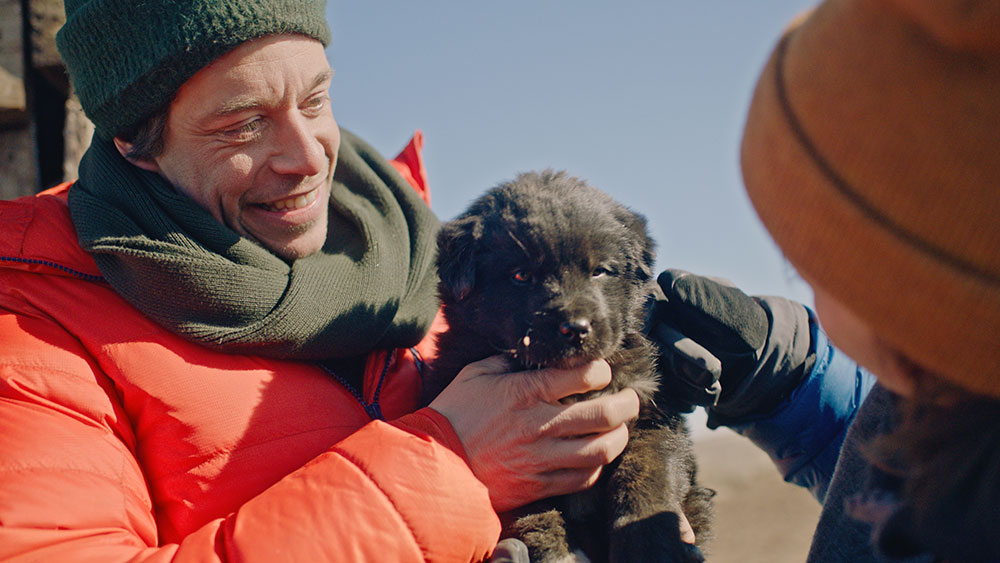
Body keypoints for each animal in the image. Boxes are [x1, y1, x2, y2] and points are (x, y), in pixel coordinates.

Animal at [420, 170, 712, 560]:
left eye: (600, 271)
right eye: (521, 275)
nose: (575, 328)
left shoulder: (652, 412)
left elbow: (646, 475)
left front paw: (648, 544)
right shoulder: (523, 467)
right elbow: (534, 514)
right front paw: (557, 551)